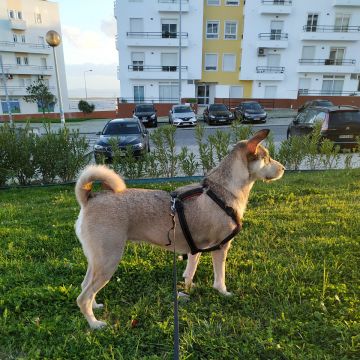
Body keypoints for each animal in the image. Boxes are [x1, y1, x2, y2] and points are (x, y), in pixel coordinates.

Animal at [74, 129, 286, 330]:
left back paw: (96, 307)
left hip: (96, 260)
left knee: (85, 286)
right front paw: (223, 292)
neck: (223, 190)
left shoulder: (195, 248)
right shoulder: (221, 248)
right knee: (83, 297)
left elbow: (190, 271)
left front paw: (187, 289)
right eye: (266, 157)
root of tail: (90, 198)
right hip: (109, 260)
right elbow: (220, 278)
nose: (283, 168)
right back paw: (95, 323)